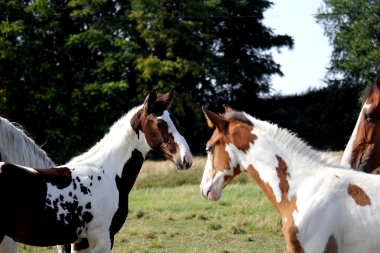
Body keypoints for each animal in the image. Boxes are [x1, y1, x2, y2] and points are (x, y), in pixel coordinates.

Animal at [0, 88, 193, 252]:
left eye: (176, 122)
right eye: (160, 124)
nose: (186, 159)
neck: (107, 173)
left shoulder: (80, 243)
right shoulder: (102, 240)